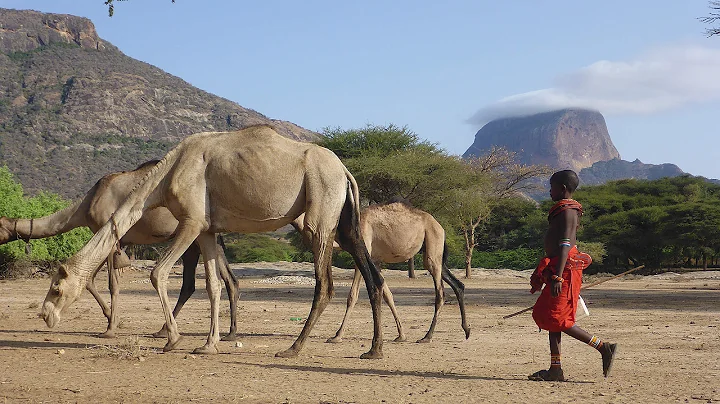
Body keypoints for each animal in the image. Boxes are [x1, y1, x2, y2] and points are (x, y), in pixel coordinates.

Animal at [0, 161, 242, 340]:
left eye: (0, 226)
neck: (86, 205)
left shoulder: (107, 233)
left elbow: (111, 284)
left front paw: (110, 328)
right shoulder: (118, 241)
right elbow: (89, 279)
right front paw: (110, 318)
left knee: (207, 280)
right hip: (202, 237)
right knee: (216, 280)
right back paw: (222, 332)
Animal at [41, 126, 386, 360]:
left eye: (56, 289)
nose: (45, 315)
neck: (167, 175)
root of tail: (345, 170)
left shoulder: (192, 221)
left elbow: (158, 272)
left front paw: (173, 340)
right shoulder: (207, 229)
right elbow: (213, 285)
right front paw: (208, 344)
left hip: (320, 212)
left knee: (325, 282)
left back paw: (293, 348)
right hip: (344, 218)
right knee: (373, 275)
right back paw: (374, 349)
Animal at [292, 202, 472, 344]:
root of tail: (440, 226)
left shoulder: (362, 254)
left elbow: (352, 296)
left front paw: (337, 336)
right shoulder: (376, 261)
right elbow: (387, 294)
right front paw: (401, 335)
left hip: (433, 242)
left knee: (440, 292)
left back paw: (427, 337)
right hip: (432, 251)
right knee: (457, 284)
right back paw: (466, 330)